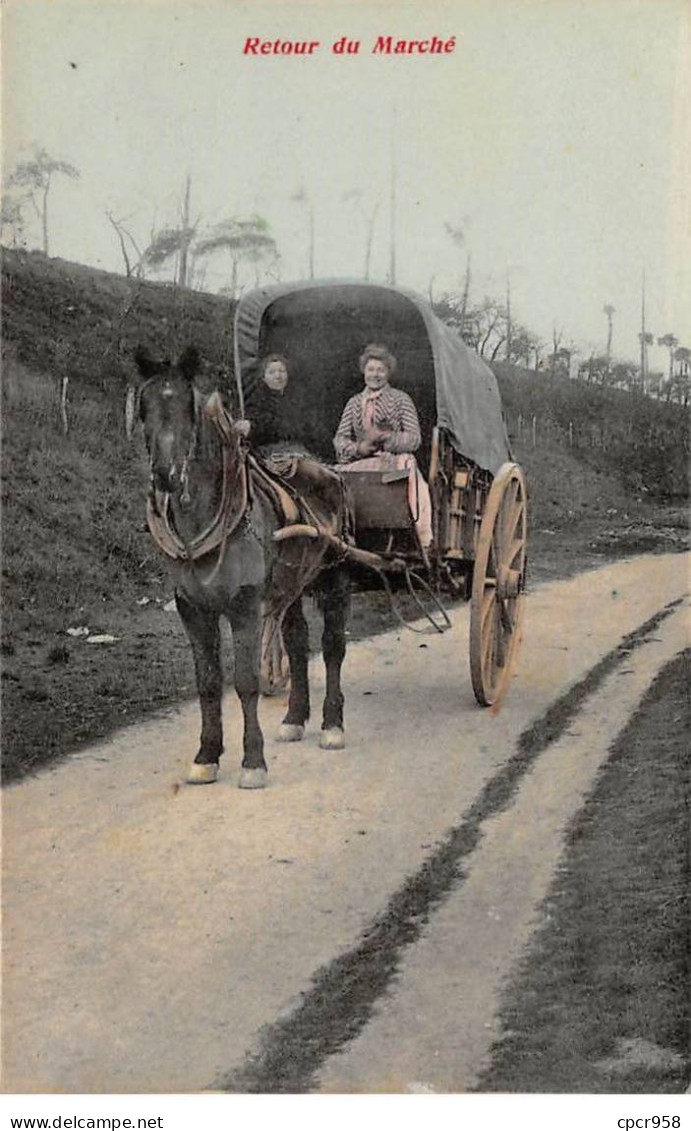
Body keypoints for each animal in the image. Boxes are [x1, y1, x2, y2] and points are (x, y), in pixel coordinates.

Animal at [134, 341, 350, 787]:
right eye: (144, 407)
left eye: (187, 407)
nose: (165, 476)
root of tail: (324, 468)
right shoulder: (193, 608)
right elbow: (208, 682)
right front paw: (206, 755)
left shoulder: (244, 605)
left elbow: (246, 682)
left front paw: (253, 761)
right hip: (290, 586)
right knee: (298, 644)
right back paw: (294, 718)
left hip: (334, 577)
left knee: (333, 647)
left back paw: (332, 725)